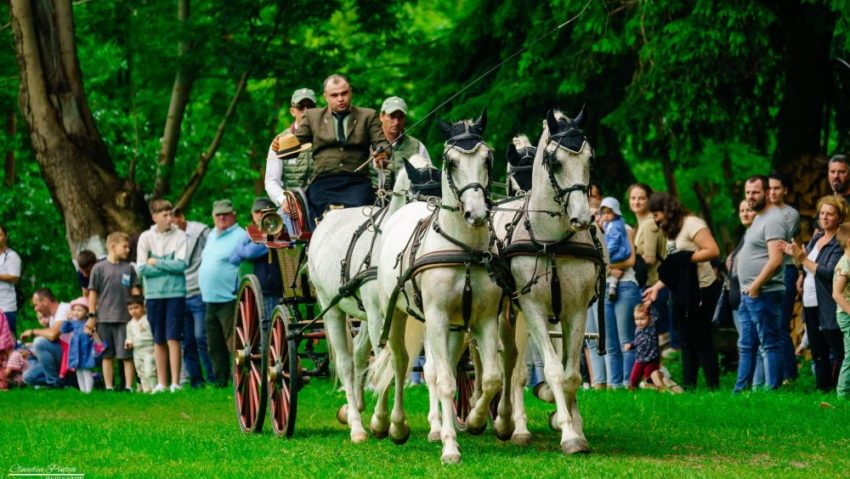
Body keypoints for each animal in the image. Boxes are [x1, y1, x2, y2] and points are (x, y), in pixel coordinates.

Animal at [304, 154, 434, 442]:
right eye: (421, 195)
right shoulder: (378, 316)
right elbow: (389, 360)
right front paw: (383, 422)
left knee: (359, 354)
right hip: (332, 308)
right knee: (345, 363)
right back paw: (356, 425)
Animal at [372, 110, 504, 464]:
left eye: (487, 158)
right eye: (452, 161)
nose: (476, 213)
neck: (463, 248)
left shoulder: (484, 319)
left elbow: (490, 378)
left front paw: (474, 420)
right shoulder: (437, 317)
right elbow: (444, 381)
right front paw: (450, 447)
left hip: (452, 327)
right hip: (397, 315)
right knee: (400, 363)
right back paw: (392, 424)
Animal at [486, 110, 600, 456]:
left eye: (590, 158)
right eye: (555, 161)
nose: (583, 219)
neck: (552, 240)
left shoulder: (575, 310)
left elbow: (571, 374)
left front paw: (573, 426)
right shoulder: (532, 308)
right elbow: (550, 371)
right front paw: (568, 435)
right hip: (509, 316)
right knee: (512, 364)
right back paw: (510, 423)